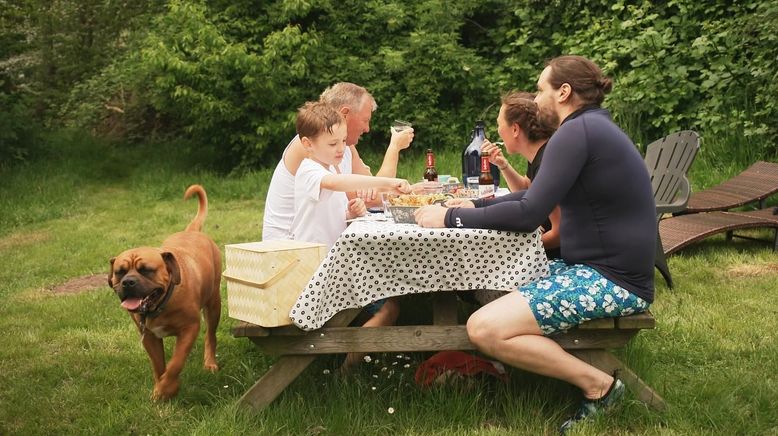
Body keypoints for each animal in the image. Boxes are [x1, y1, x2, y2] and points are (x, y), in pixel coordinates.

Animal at [107, 185, 221, 402]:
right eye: (120, 272)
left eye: (146, 270)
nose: (128, 282)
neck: (161, 304)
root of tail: (191, 231)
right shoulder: (149, 337)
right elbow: (159, 366)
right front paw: (161, 388)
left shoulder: (189, 328)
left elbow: (175, 363)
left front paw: (167, 389)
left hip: (213, 305)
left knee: (210, 336)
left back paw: (210, 362)